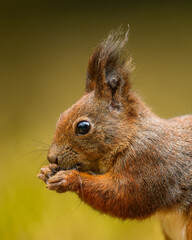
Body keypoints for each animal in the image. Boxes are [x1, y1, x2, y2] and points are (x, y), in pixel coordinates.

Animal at [38, 29, 192, 239]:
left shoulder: (150, 163)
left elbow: (124, 197)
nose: (52, 157)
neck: (132, 137)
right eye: (61, 116)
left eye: (83, 127)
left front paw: (68, 179)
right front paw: (46, 171)